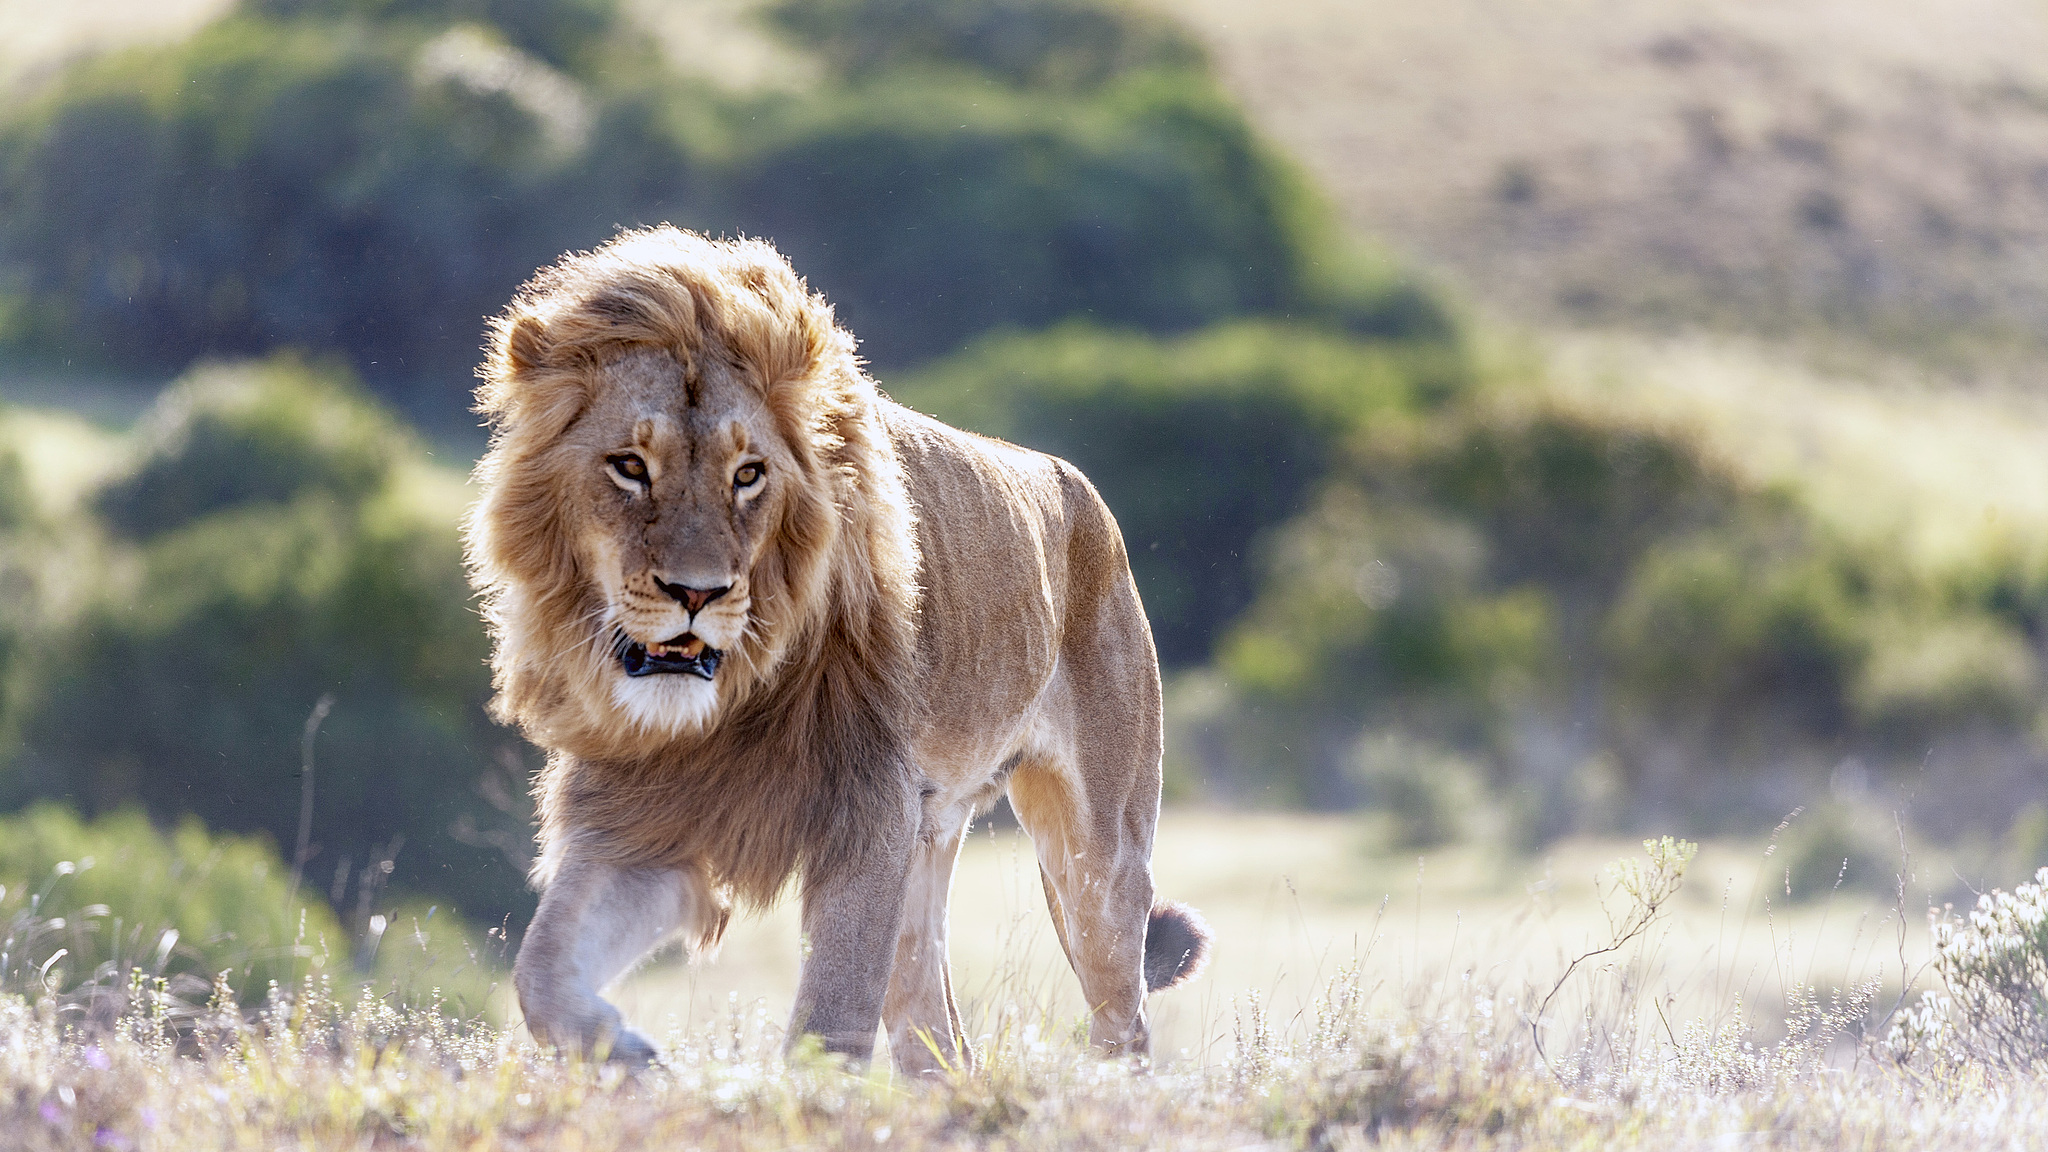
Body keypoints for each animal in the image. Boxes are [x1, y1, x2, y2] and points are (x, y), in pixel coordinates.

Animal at [460, 224, 1212, 1065]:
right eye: (629, 467)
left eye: (748, 475)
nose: (697, 593)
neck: (732, 699)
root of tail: (1084, 493)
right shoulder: (644, 814)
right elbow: (540, 972)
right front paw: (630, 1058)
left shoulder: (871, 808)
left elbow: (829, 1019)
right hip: (931, 843)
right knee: (939, 1037)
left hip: (1098, 857)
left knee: (1124, 1014)